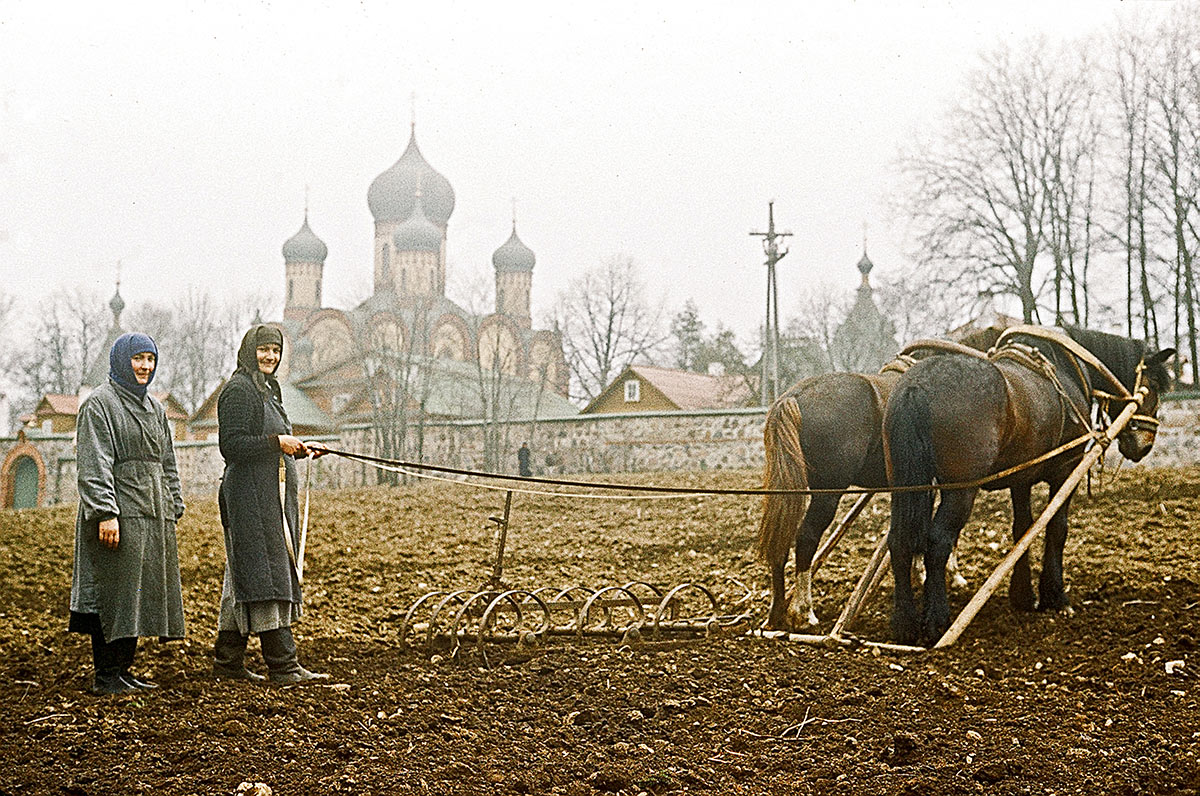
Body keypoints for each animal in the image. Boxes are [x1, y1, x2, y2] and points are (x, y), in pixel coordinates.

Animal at [753, 338, 988, 633]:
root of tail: (793, 397)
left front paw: (920, 572)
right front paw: (949, 575)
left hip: (788, 491)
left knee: (781, 540)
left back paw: (776, 614)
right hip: (827, 494)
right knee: (806, 538)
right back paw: (804, 612)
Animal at [883, 326, 1171, 648]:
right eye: (1153, 384)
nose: (1144, 445)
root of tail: (917, 385)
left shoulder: (1020, 479)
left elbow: (1022, 529)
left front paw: (1022, 595)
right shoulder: (1065, 469)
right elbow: (1057, 528)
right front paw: (1055, 596)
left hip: (905, 486)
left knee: (899, 541)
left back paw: (904, 623)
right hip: (960, 491)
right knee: (938, 542)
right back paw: (937, 621)